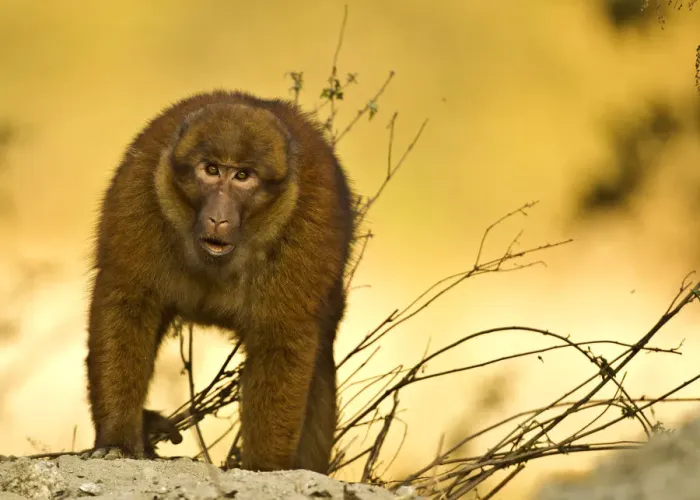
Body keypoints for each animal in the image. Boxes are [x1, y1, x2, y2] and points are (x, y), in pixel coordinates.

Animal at [85, 90, 355, 473]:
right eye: (211, 170)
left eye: (243, 175)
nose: (218, 217)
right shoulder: (142, 191)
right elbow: (127, 303)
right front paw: (117, 440)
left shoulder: (308, 222)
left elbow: (282, 338)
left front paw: (264, 468)